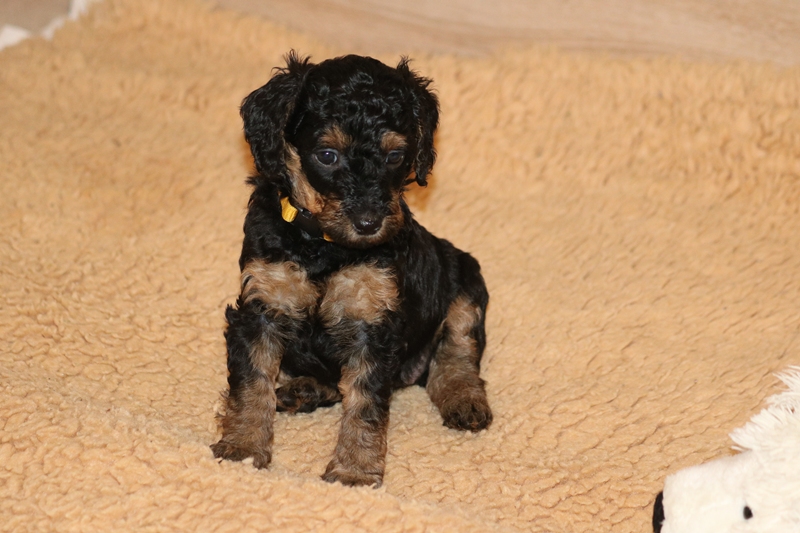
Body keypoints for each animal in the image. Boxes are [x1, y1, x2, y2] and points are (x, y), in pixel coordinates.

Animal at [211, 53, 492, 487]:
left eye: (395, 156)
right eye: (328, 155)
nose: (369, 223)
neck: (324, 245)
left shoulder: (372, 322)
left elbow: (365, 403)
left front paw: (354, 472)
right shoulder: (262, 305)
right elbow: (251, 381)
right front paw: (242, 446)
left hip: (463, 277)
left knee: (457, 352)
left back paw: (465, 400)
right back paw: (301, 390)